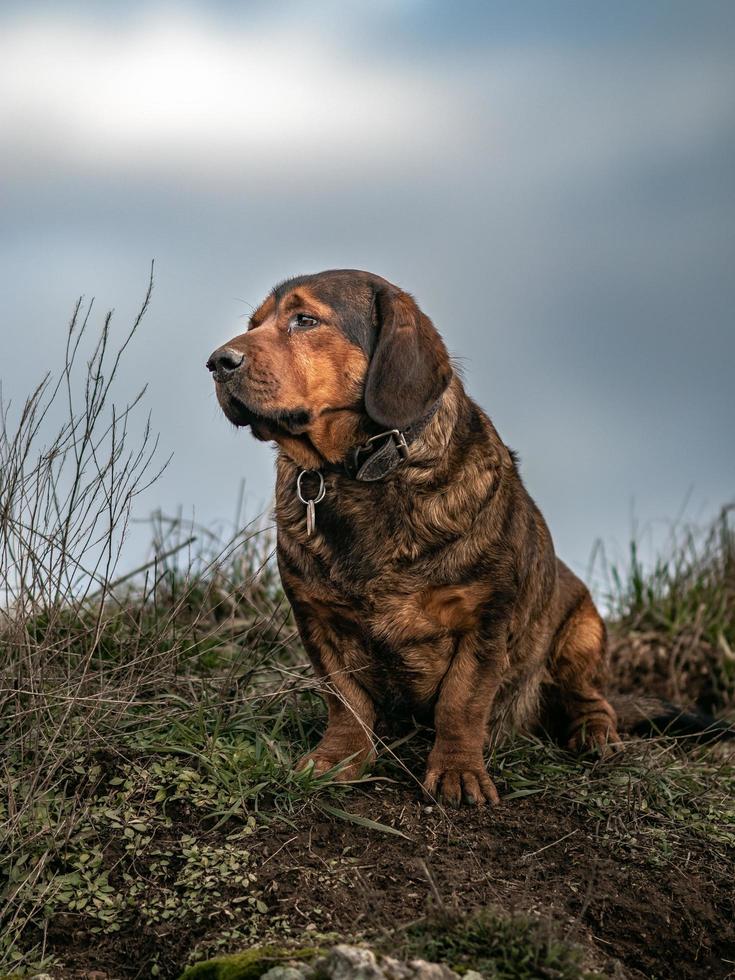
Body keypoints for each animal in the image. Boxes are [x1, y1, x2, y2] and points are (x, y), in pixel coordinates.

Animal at [208, 268, 632, 804]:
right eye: (254, 324)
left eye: (305, 320)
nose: (217, 362)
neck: (360, 472)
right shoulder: (318, 620)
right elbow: (345, 700)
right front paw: (337, 759)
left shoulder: (483, 620)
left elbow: (461, 702)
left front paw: (457, 772)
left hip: (582, 632)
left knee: (589, 696)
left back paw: (595, 734)